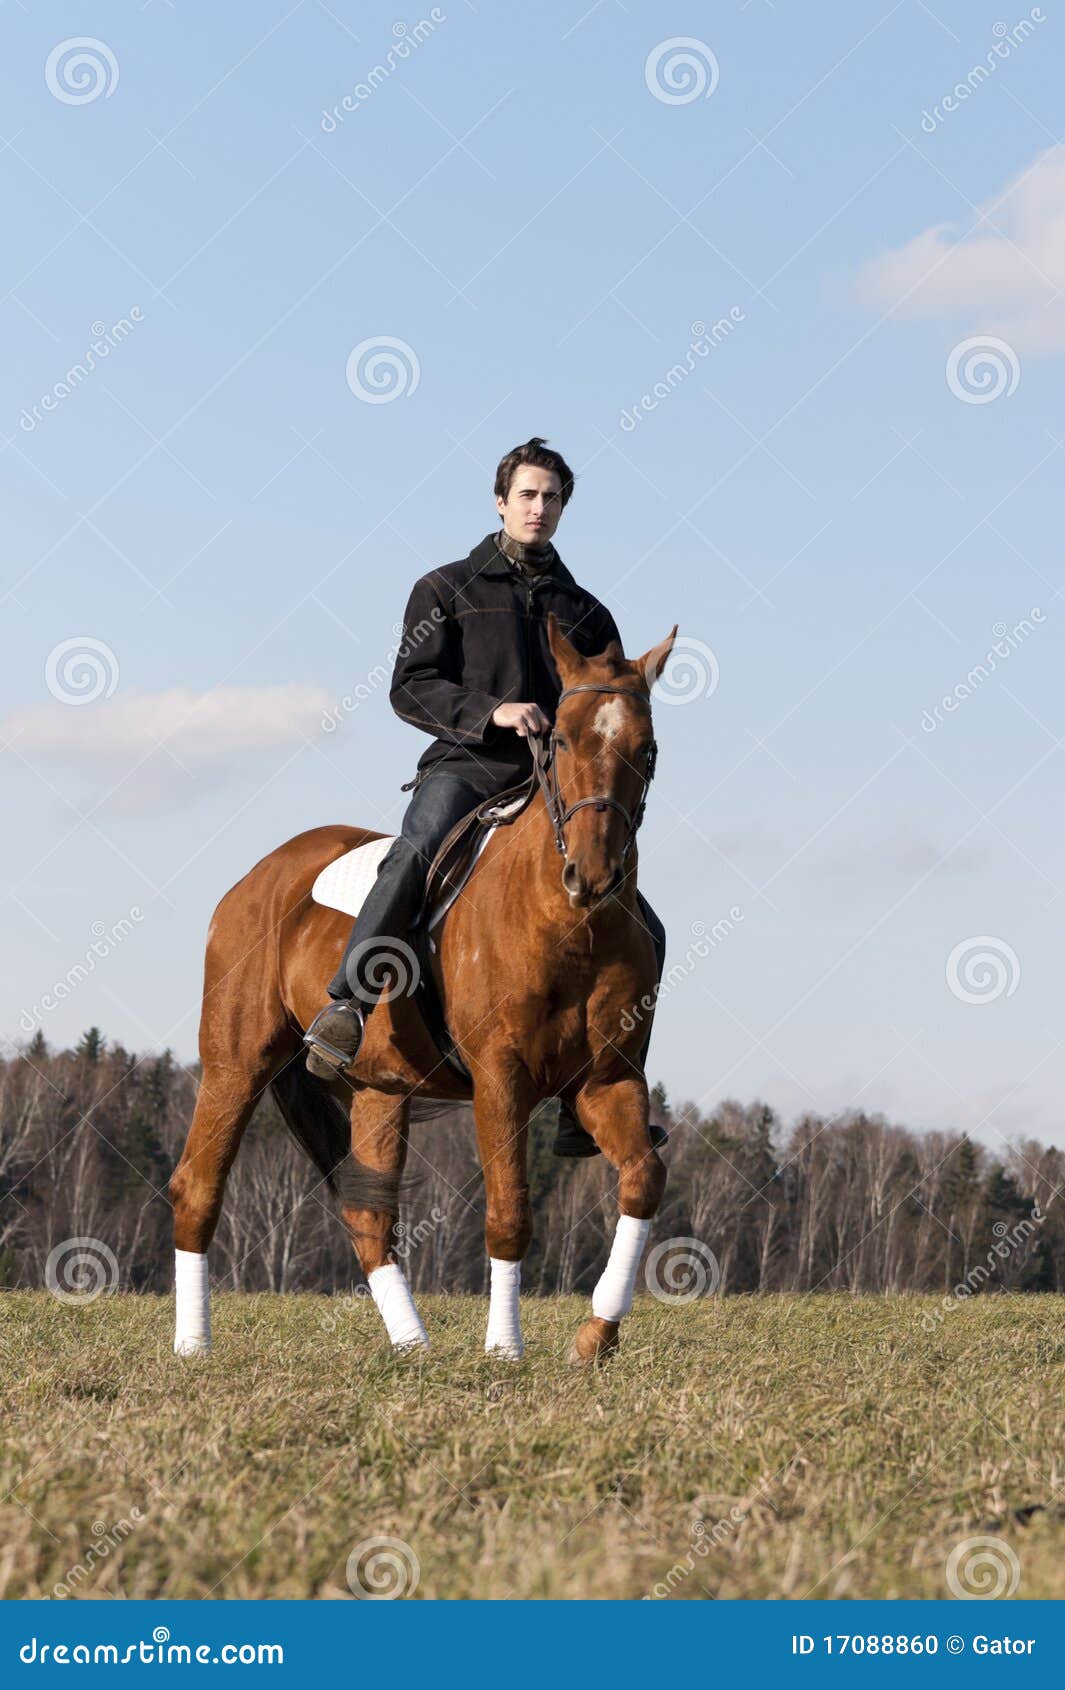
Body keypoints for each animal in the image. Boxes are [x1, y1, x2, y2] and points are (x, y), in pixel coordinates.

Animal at [170, 615, 679, 1365]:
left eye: (646, 749)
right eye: (558, 739)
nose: (592, 875)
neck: (570, 925)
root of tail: (259, 876)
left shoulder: (608, 1080)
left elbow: (642, 1181)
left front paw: (595, 1335)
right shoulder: (501, 1078)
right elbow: (509, 1211)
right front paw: (504, 1350)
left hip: (378, 1092)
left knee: (368, 1214)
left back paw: (412, 1343)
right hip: (237, 1064)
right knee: (198, 1188)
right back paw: (193, 1346)